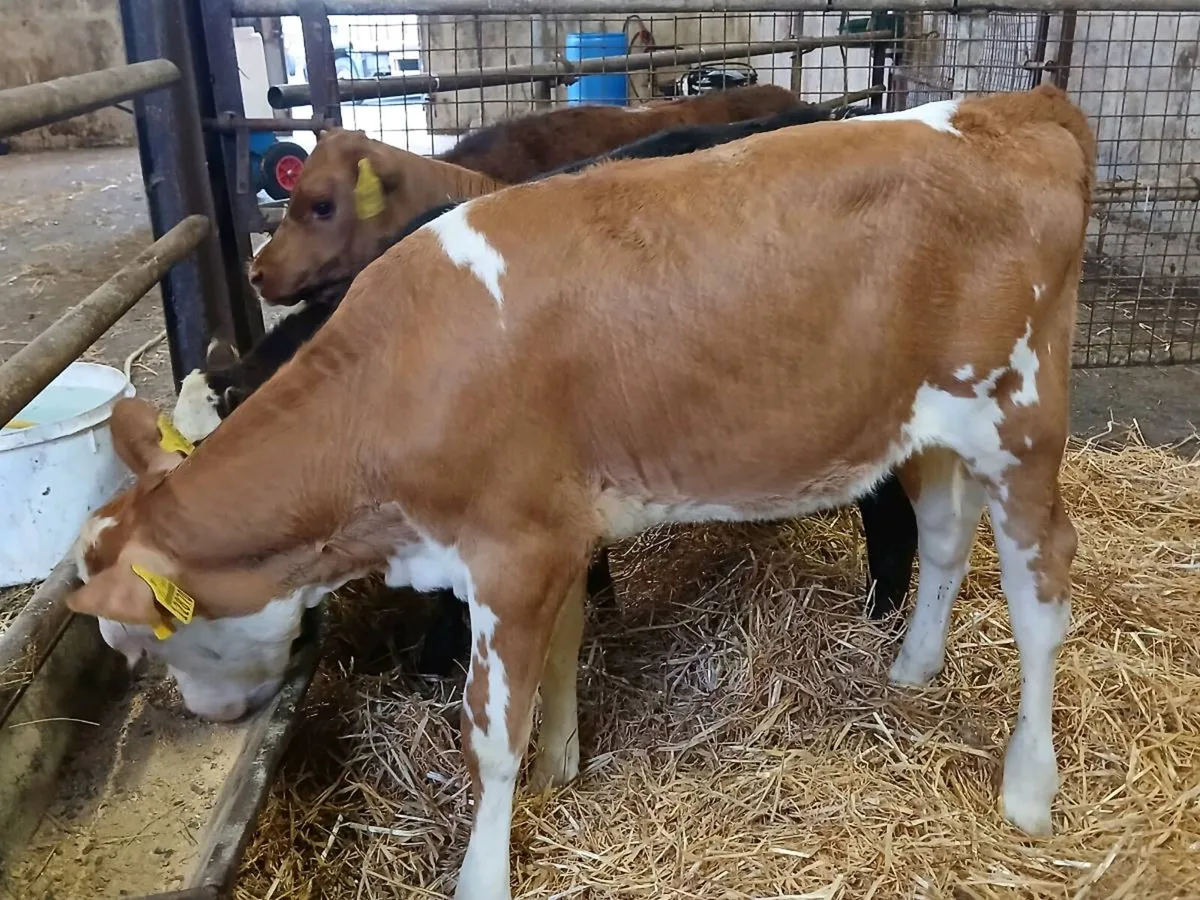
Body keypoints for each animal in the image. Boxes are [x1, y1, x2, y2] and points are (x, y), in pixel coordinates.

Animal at [68, 84, 1093, 899]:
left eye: (146, 642)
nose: (213, 720)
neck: (389, 381)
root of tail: (1020, 105)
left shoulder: (511, 551)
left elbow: (489, 729)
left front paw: (484, 874)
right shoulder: (554, 529)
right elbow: (561, 655)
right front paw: (560, 766)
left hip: (1023, 418)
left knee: (1042, 590)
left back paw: (1031, 788)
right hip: (932, 425)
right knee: (946, 532)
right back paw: (913, 665)